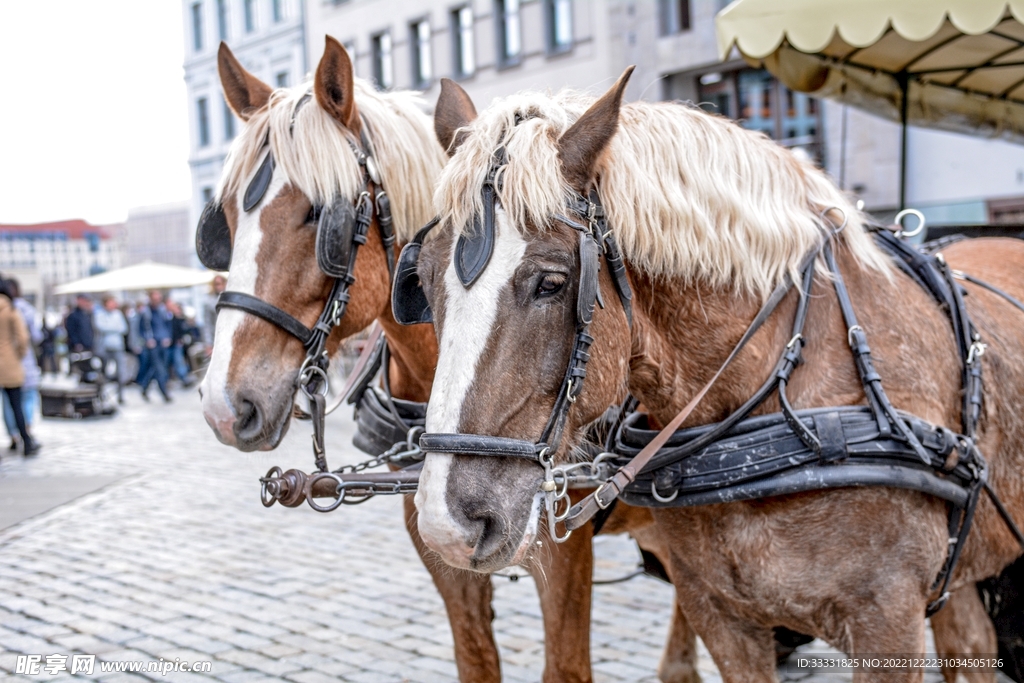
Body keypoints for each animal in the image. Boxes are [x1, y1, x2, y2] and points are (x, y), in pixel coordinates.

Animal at [198, 38, 703, 683]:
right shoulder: (438, 542)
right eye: (225, 220)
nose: (223, 403)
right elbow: (474, 658)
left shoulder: (562, 549)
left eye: (318, 214)